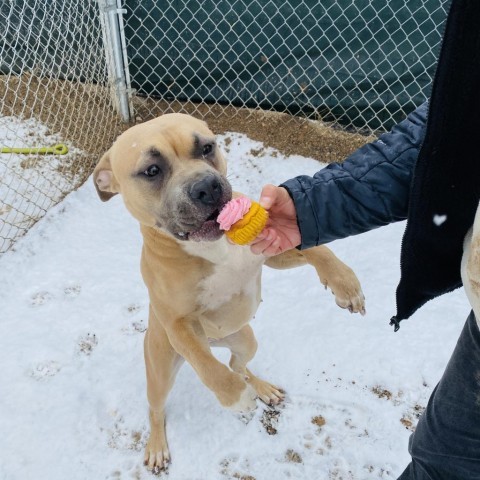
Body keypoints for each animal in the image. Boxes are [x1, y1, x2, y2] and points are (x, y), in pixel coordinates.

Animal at [93, 113, 364, 472]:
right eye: (152, 170)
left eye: (207, 148)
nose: (207, 187)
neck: (213, 247)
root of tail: (215, 342)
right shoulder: (179, 324)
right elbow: (208, 368)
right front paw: (234, 397)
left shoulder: (270, 253)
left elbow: (316, 248)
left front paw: (344, 282)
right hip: (161, 367)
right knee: (159, 405)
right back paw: (157, 444)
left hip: (245, 339)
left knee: (238, 364)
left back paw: (260, 386)